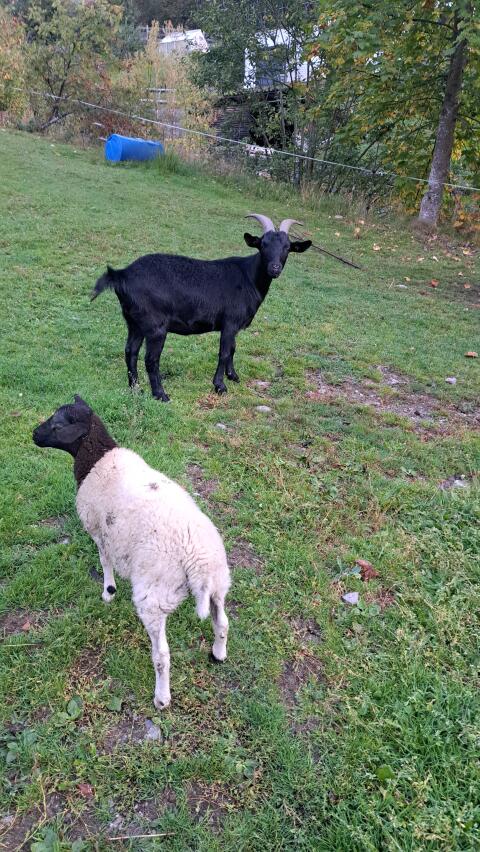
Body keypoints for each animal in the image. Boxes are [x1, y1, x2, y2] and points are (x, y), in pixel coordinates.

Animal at [33, 396, 231, 709]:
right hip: (219, 583)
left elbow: (105, 562)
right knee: (222, 623)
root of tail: (197, 563)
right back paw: (218, 654)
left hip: (155, 597)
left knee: (162, 655)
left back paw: (162, 697)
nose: (34, 434)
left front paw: (108, 592)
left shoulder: (100, 531)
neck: (96, 460)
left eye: (58, 424)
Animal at [91, 213, 311, 401]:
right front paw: (220, 386)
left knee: (130, 352)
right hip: (155, 326)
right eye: (262, 245)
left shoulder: (233, 326)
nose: (275, 268)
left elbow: (233, 349)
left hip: (134, 322)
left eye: (287, 247)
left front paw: (233, 376)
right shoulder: (230, 322)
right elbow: (224, 352)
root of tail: (122, 275)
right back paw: (161, 395)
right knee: (151, 359)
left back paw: (135, 389)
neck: (248, 277)